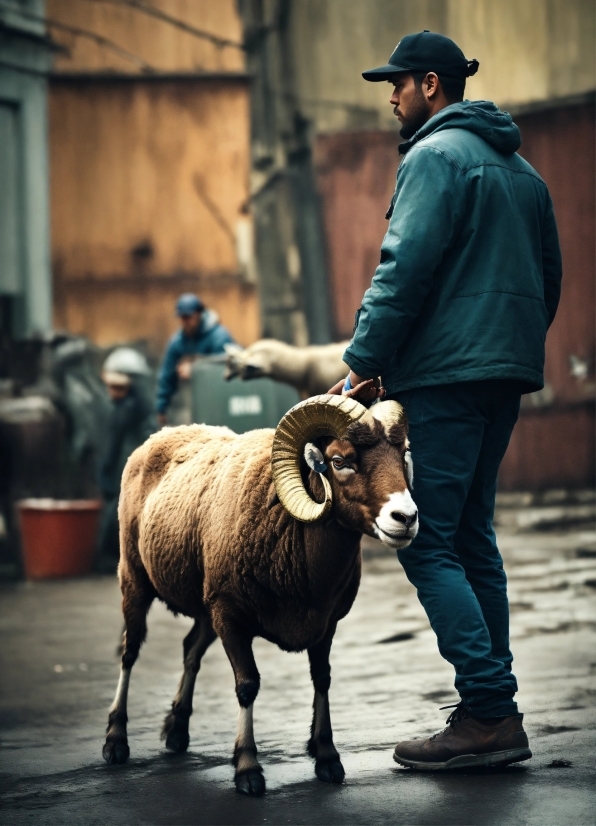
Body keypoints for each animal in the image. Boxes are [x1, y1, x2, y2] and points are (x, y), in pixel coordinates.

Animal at [102, 396, 416, 796]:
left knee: (190, 650)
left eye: (402, 455)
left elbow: (322, 679)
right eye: (339, 461)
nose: (406, 518)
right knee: (130, 652)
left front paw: (327, 758)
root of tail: (164, 432)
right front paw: (248, 770)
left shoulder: (324, 623)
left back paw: (177, 731)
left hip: (205, 604)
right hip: (135, 578)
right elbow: (247, 686)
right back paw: (115, 740)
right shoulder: (231, 616)